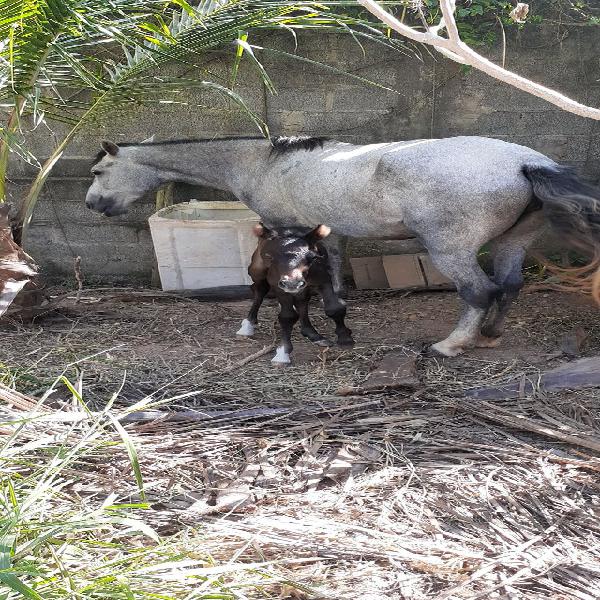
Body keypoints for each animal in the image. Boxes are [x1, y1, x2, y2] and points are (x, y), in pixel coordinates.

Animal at [85, 136, 600, 356]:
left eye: (98, 171)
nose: (92, 204)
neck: (264, 162)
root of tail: (525, 162)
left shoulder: (287, 233)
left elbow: (300, 293)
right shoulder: (331, 236)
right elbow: (328, 291)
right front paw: (332, 331)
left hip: (450, 249)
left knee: (480, 291)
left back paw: (452, 344)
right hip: (515, 241)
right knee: (509, 286)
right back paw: (490, 335)